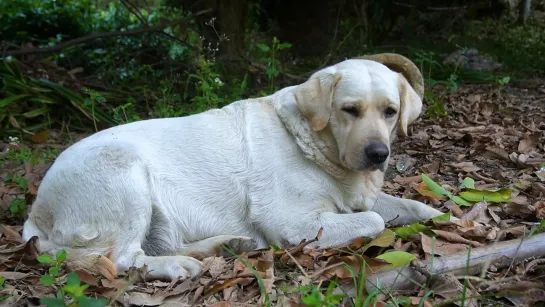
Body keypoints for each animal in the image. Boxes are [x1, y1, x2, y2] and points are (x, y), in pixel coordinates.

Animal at [22, 52, 446, 282]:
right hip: (125, 174)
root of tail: (36, 212)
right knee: (125, 257)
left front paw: (443, 217)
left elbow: (406, 206)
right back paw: (177, 266)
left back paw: (226, 244)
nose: (378, 154)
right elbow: (374, 220)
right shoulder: (291, 222)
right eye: (350, 110)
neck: (316, 145)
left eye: (390, 111)